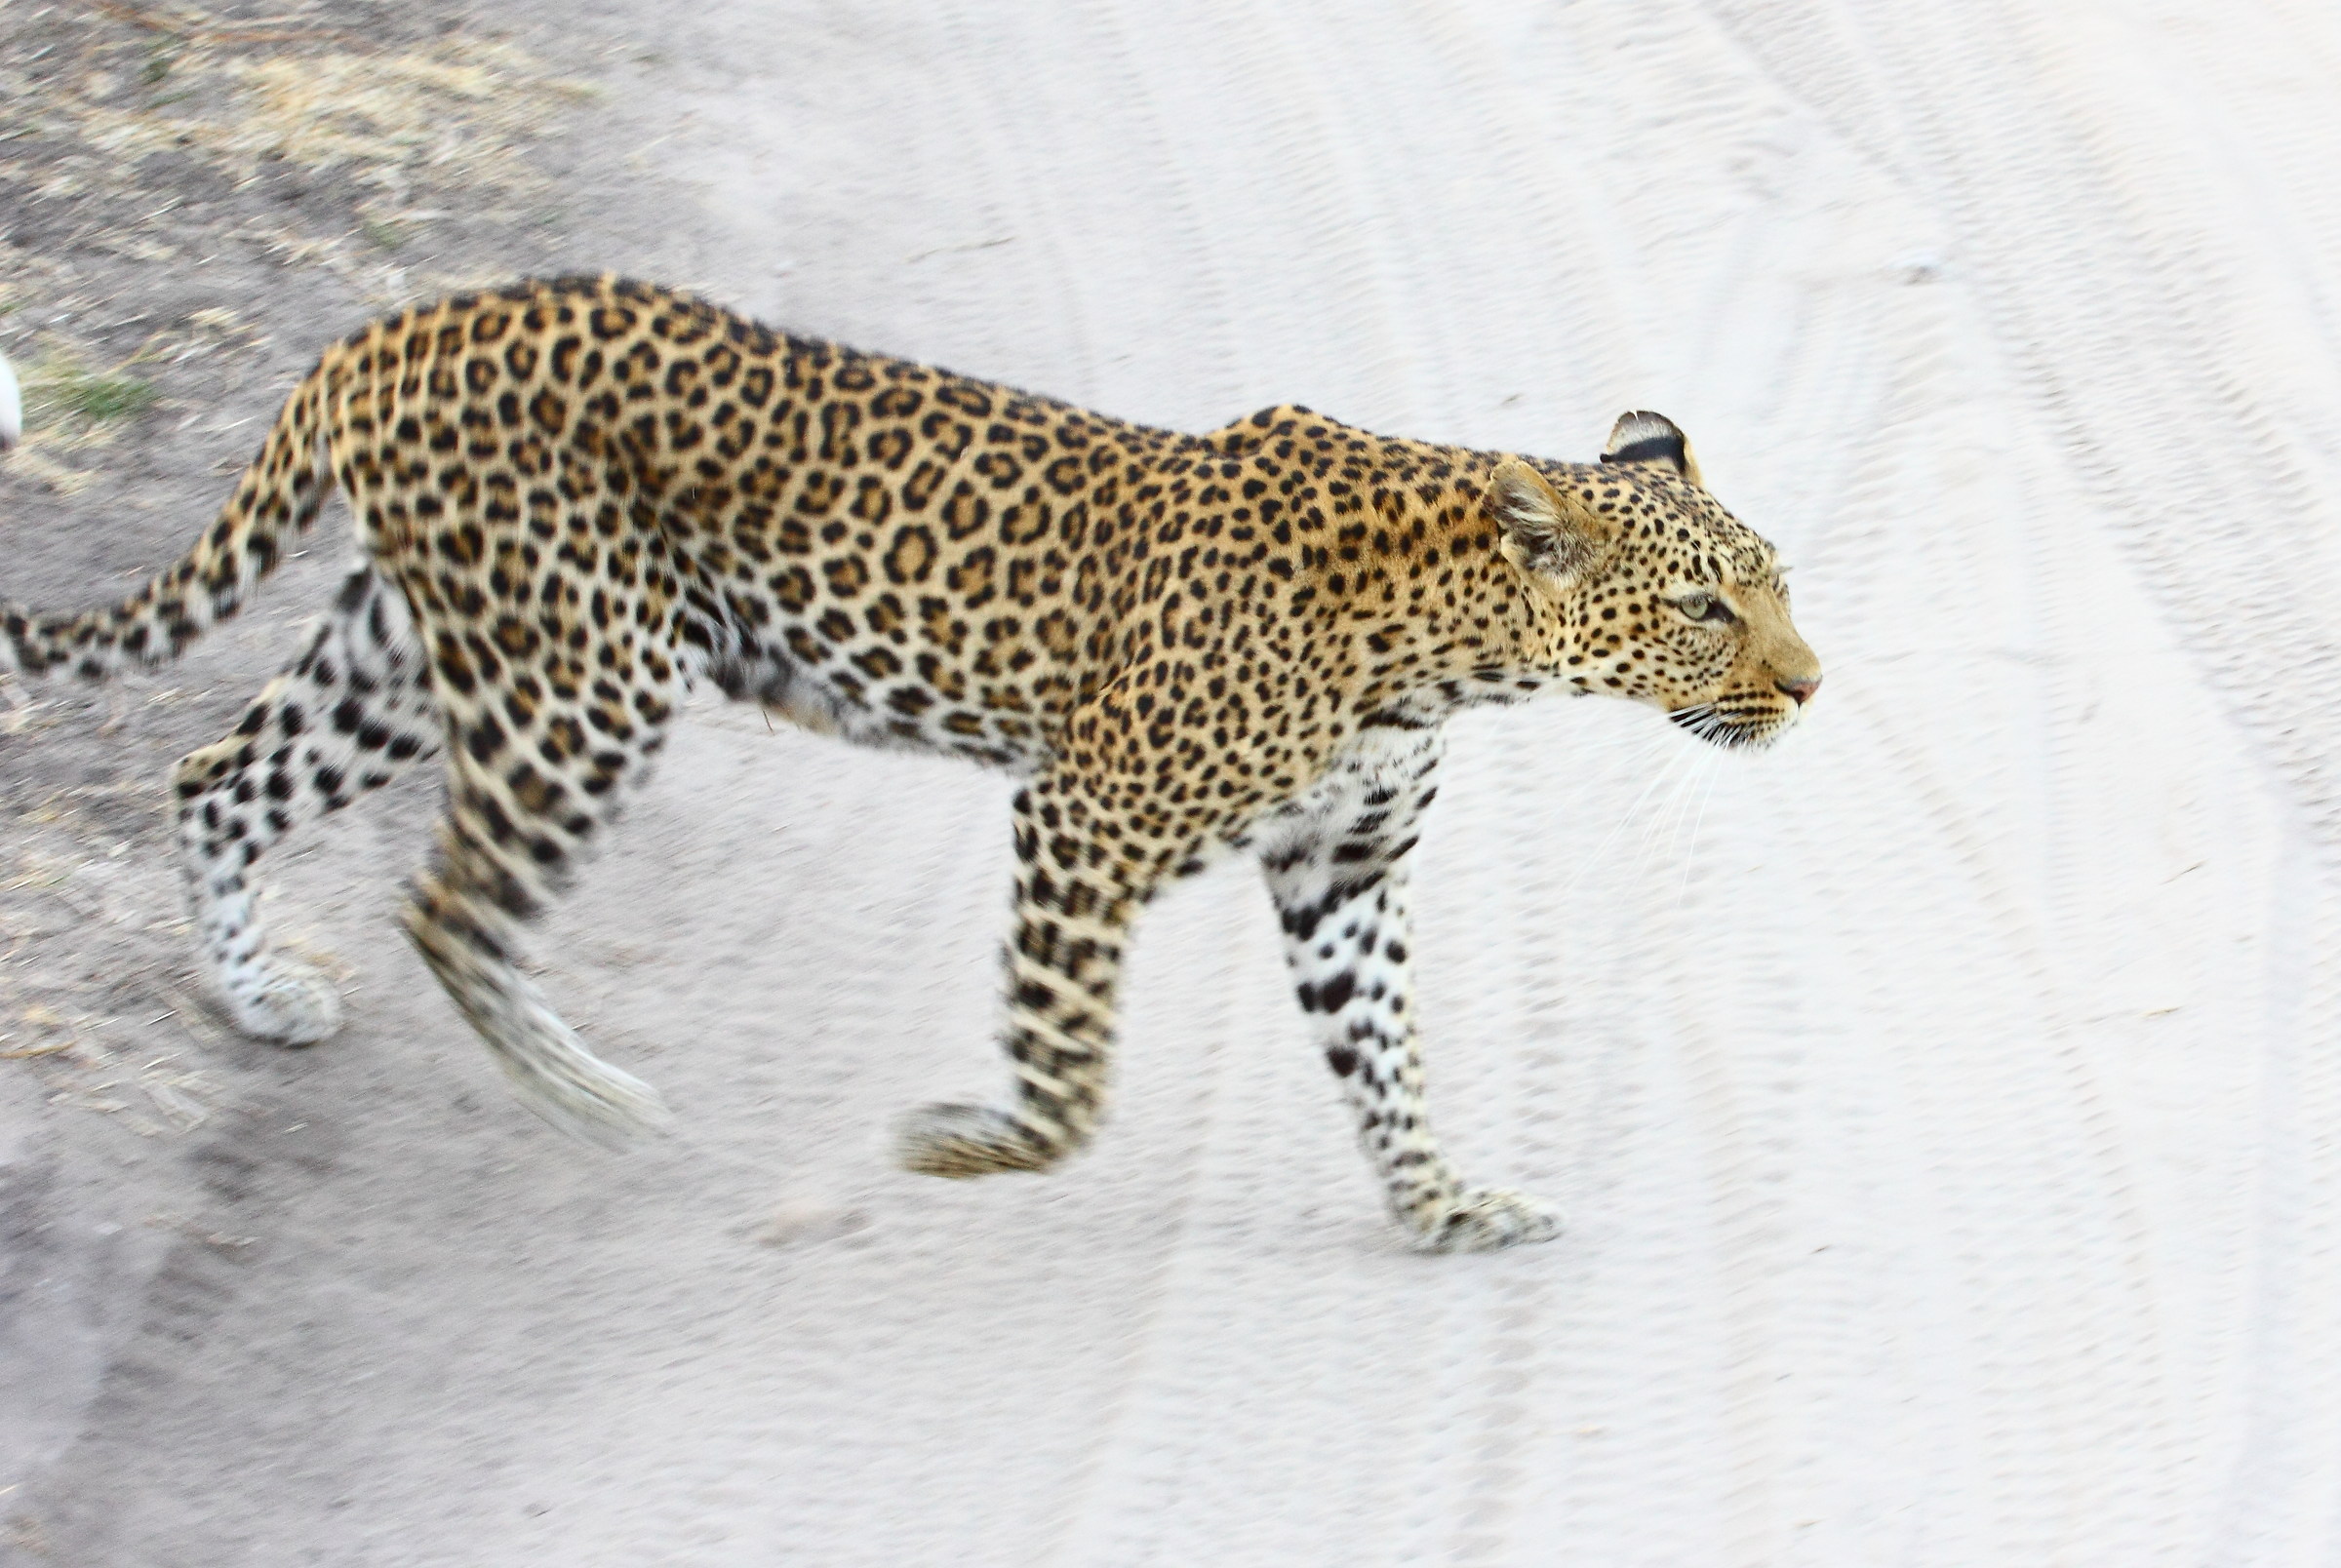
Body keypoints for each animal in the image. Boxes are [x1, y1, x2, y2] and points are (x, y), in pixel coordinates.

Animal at [0, 276, 1820, 1252]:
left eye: (1780, 581)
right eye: (1704, 606)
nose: (1812, 688)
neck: (1451, 651)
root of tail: (397, 323)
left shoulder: (1341, 869)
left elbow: (1383, 1054)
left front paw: (1442, 1205)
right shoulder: (1083, 817)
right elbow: (1070, 1080)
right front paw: (950, 1141)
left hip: (412, 649)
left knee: (212, 780)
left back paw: (259, 999)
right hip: (588, 679)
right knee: (450, 904)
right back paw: (590, 1096)